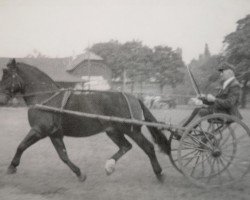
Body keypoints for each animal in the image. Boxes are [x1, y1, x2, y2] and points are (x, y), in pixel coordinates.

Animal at [1, 59, 170, 181]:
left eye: (7, 75)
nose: (2, 100)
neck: (46, 98)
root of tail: (133, 97)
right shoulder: (54, 134)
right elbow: (63, 156)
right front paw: (79, 173)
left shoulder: (39, 130)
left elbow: (21, 146)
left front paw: (12, 166)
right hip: (113, 131)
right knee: (126, 146)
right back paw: (110, 166)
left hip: (130, 130)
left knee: (148, 147)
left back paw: (159, 173)